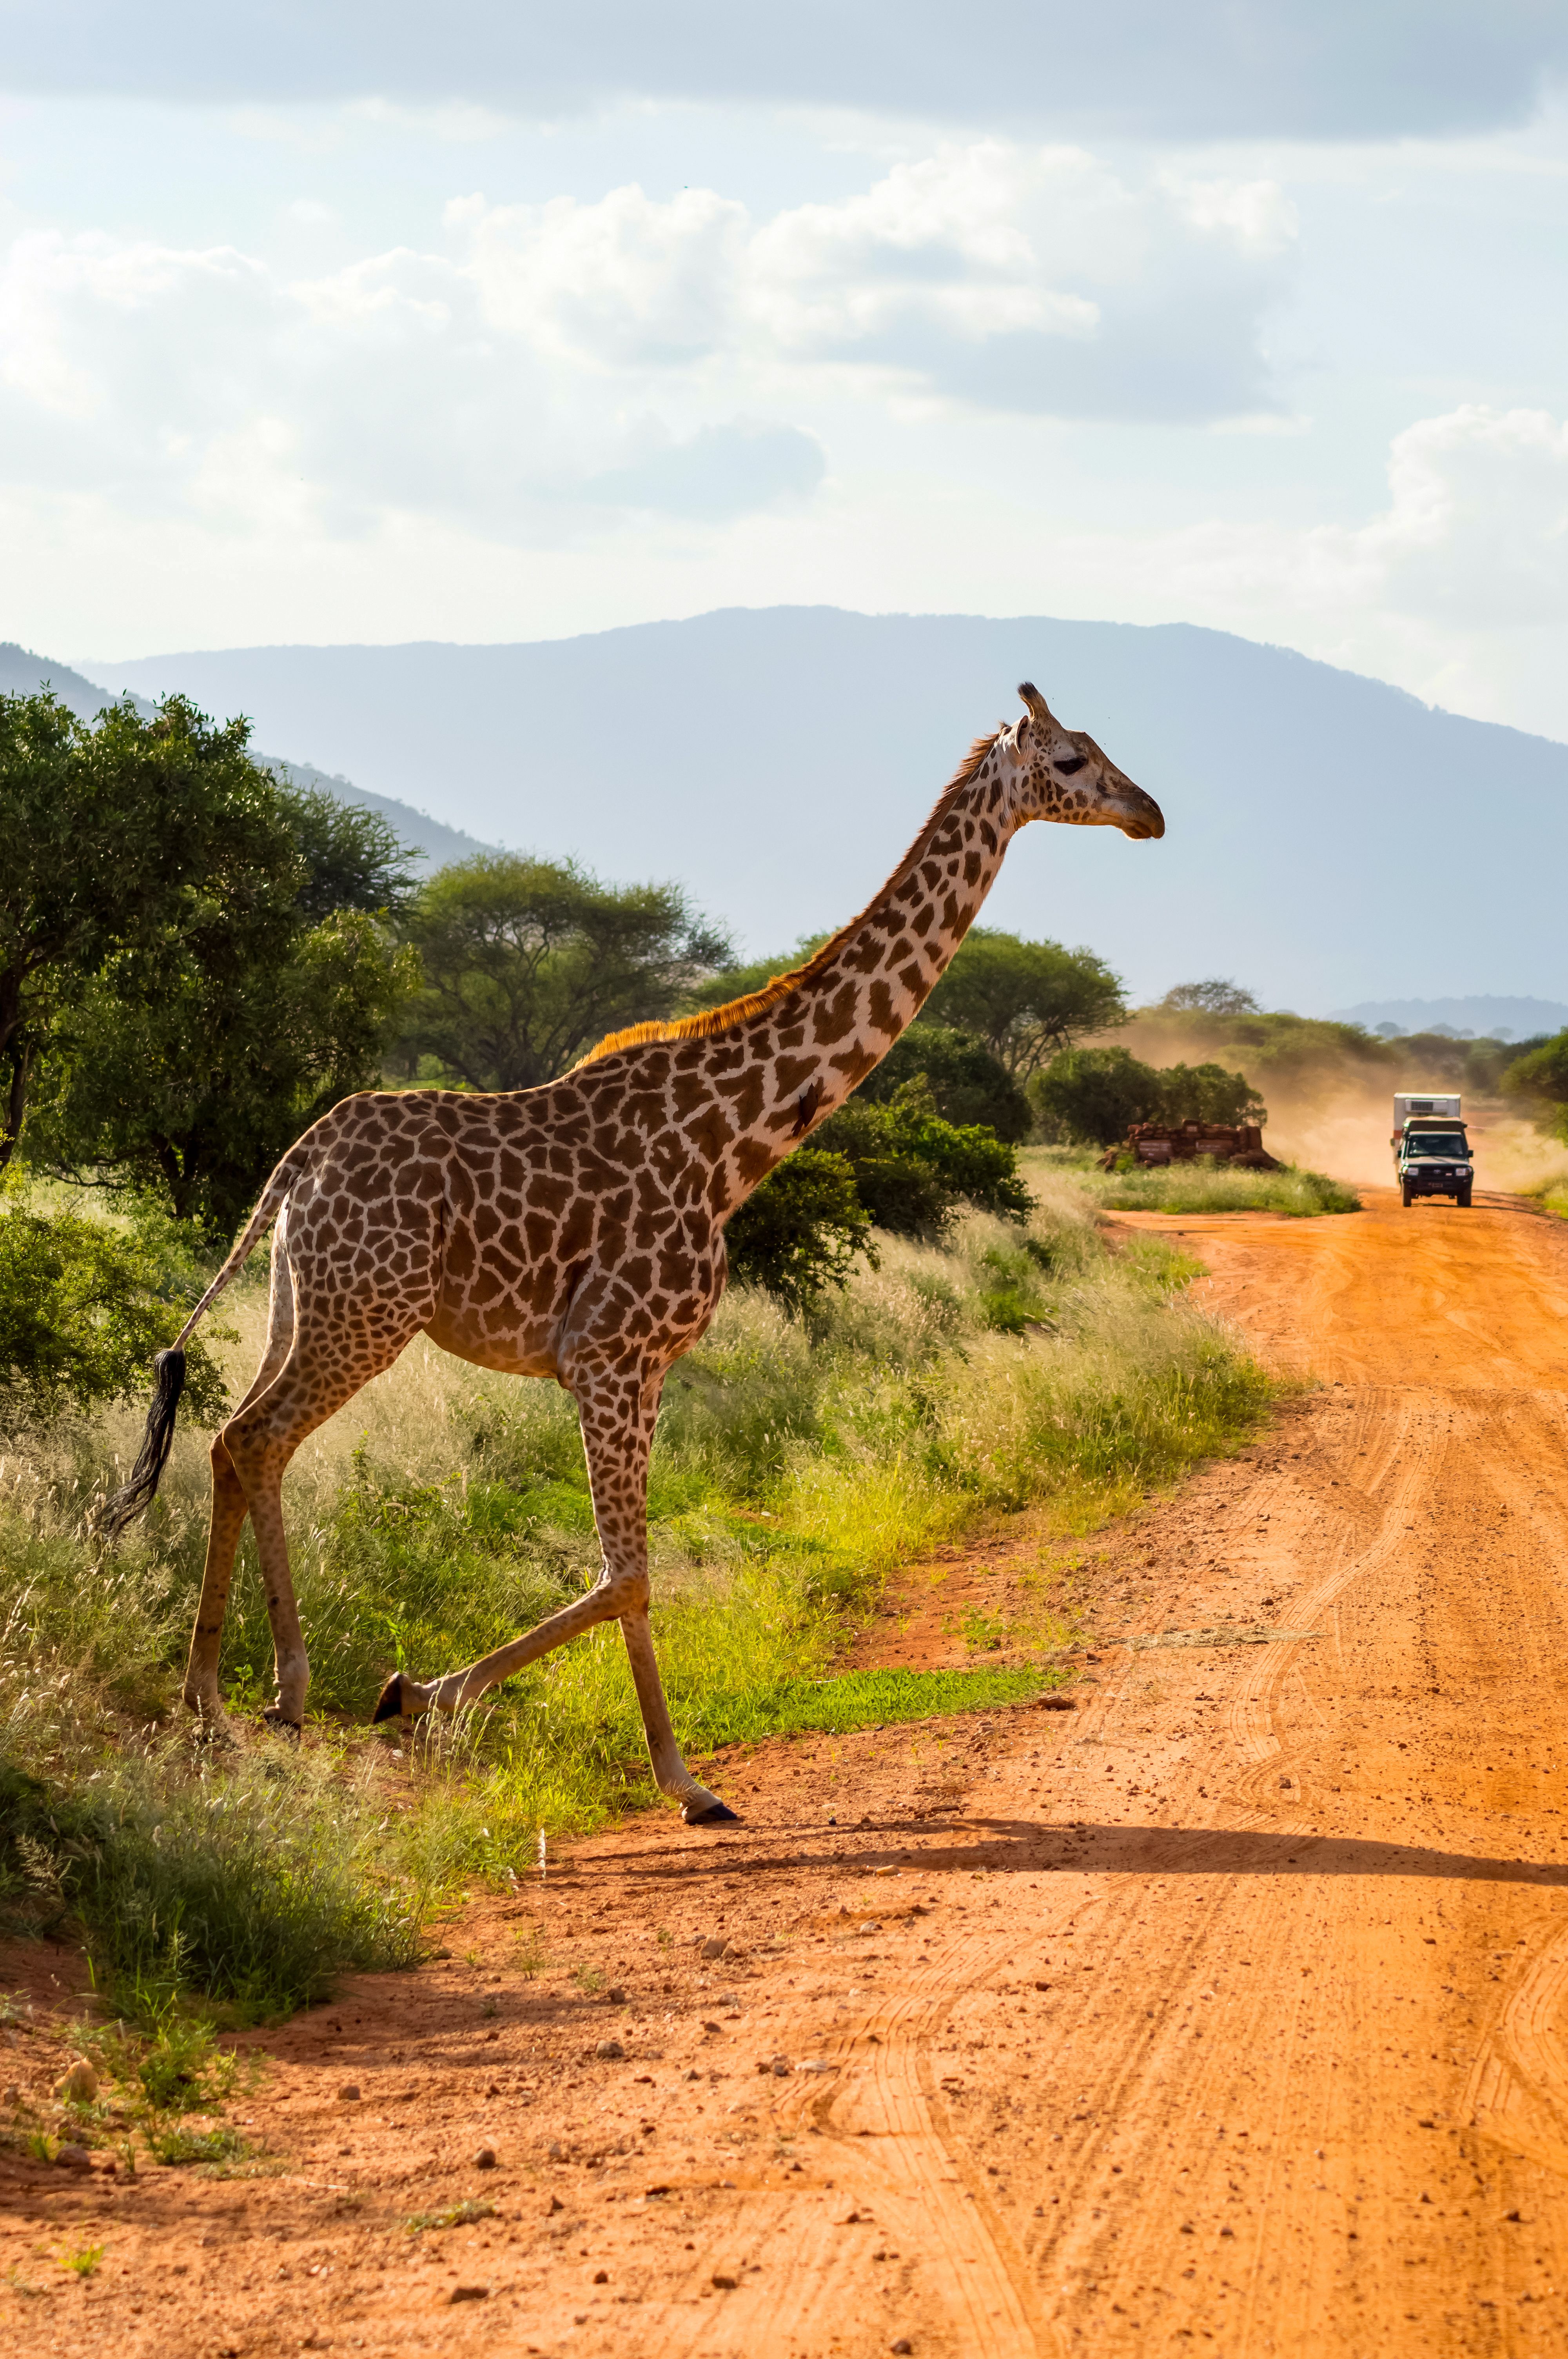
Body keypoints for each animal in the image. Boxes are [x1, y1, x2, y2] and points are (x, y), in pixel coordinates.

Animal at [104, 682, 1163, 1825]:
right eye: (1071, 758)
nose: (1149, 813)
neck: (734, 1140)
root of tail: (297, 1163)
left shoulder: (633, 1365)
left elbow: (619, 1572)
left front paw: (420, 1692)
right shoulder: (612, 1355)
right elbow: (629, 1572)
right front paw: (678, 1778)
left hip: (299, 1303)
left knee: (233, 1440)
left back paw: (233, 1695)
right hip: (366, 1315)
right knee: (255, 1441)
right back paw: (249, 1697)